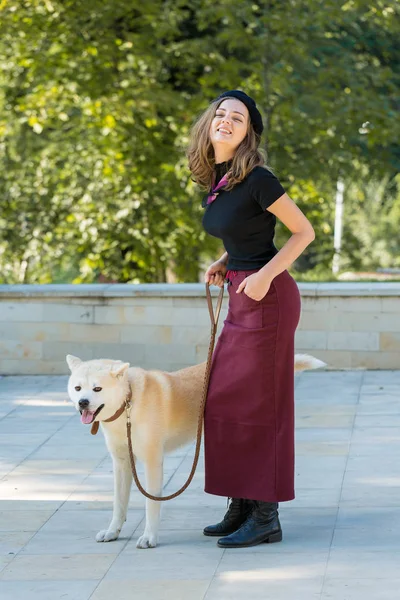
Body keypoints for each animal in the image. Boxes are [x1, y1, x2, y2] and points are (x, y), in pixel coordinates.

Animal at [66, 356, 324, 548]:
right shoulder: (121, 463)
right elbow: (118, 504)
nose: (83, 402)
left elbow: (151, 504)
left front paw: (149, 537)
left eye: (97, 388)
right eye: (78, 388)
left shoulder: (152, 462)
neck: (129, 403)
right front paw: (113, 532)